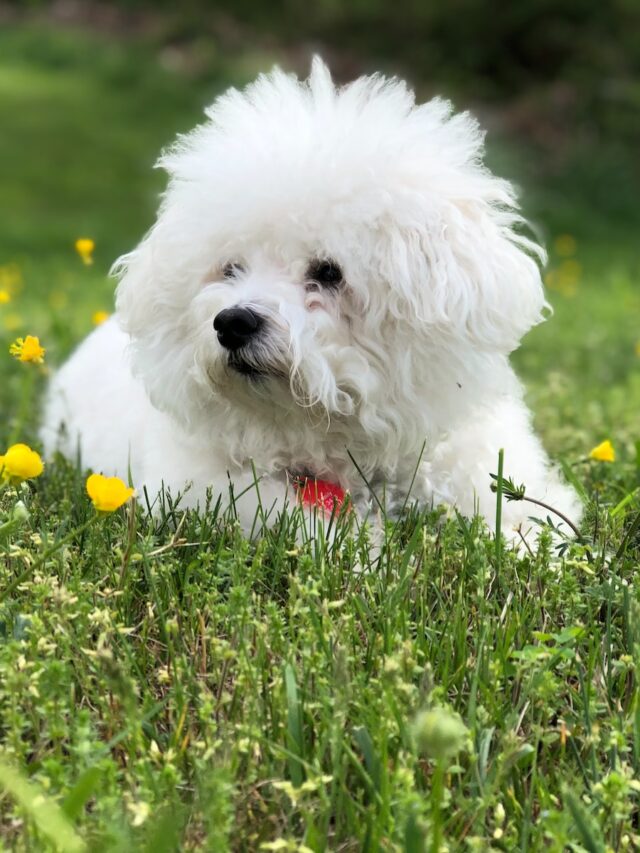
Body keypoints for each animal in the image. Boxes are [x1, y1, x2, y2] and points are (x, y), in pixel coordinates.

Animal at [38, 58, 580, 540]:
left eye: (327, 273)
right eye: (230, 269)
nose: (232, 323)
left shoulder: (472, 459)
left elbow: (521, 514)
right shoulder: (203, 486)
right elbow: (291, 520)